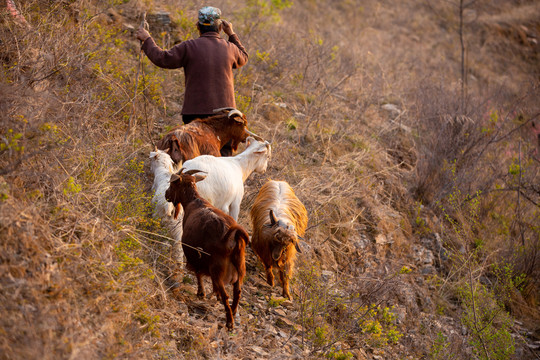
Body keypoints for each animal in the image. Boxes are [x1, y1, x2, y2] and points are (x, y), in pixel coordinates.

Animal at [163, 167, 250, 330]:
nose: (166, 194)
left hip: (217, 269)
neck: (194, 201)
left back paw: (229, 322)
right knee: (238, 292)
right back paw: (233, 313)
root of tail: (232, 237)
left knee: (226, 294)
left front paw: (201, 293)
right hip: (240, 267)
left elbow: (198, 273)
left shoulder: (195, 254)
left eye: (172, 184)